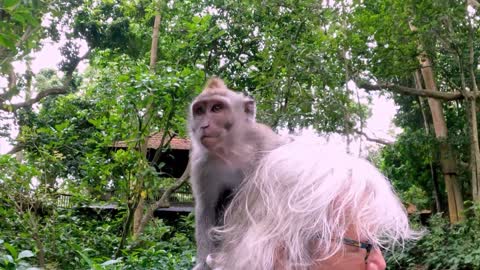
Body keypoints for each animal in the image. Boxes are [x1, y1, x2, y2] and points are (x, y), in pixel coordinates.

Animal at [187, 77, 284, 268]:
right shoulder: (200, 164)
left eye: (217, 108)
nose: (204, 125)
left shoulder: (266, 143)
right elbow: (206, 207)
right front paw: (203, 264)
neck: (231, 151)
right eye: (200, 111)